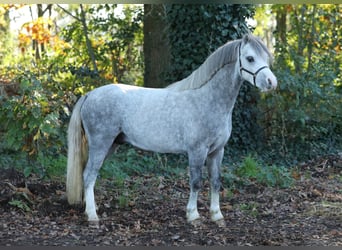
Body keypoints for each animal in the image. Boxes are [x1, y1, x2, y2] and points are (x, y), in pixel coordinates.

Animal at [67, 33, 278, 225]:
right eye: (250, 58)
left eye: (266, 57)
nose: (271, 82)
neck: (208, 99)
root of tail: (89, 94)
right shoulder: (197, 151)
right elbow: (196, 182)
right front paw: (193, 216)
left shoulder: (217, 151)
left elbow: (216, 182)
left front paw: (217, 215)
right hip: (101, 144)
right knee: (89, 175)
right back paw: (93, 216)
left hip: (110, 145)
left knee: (88, 174)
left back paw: (90, 208)